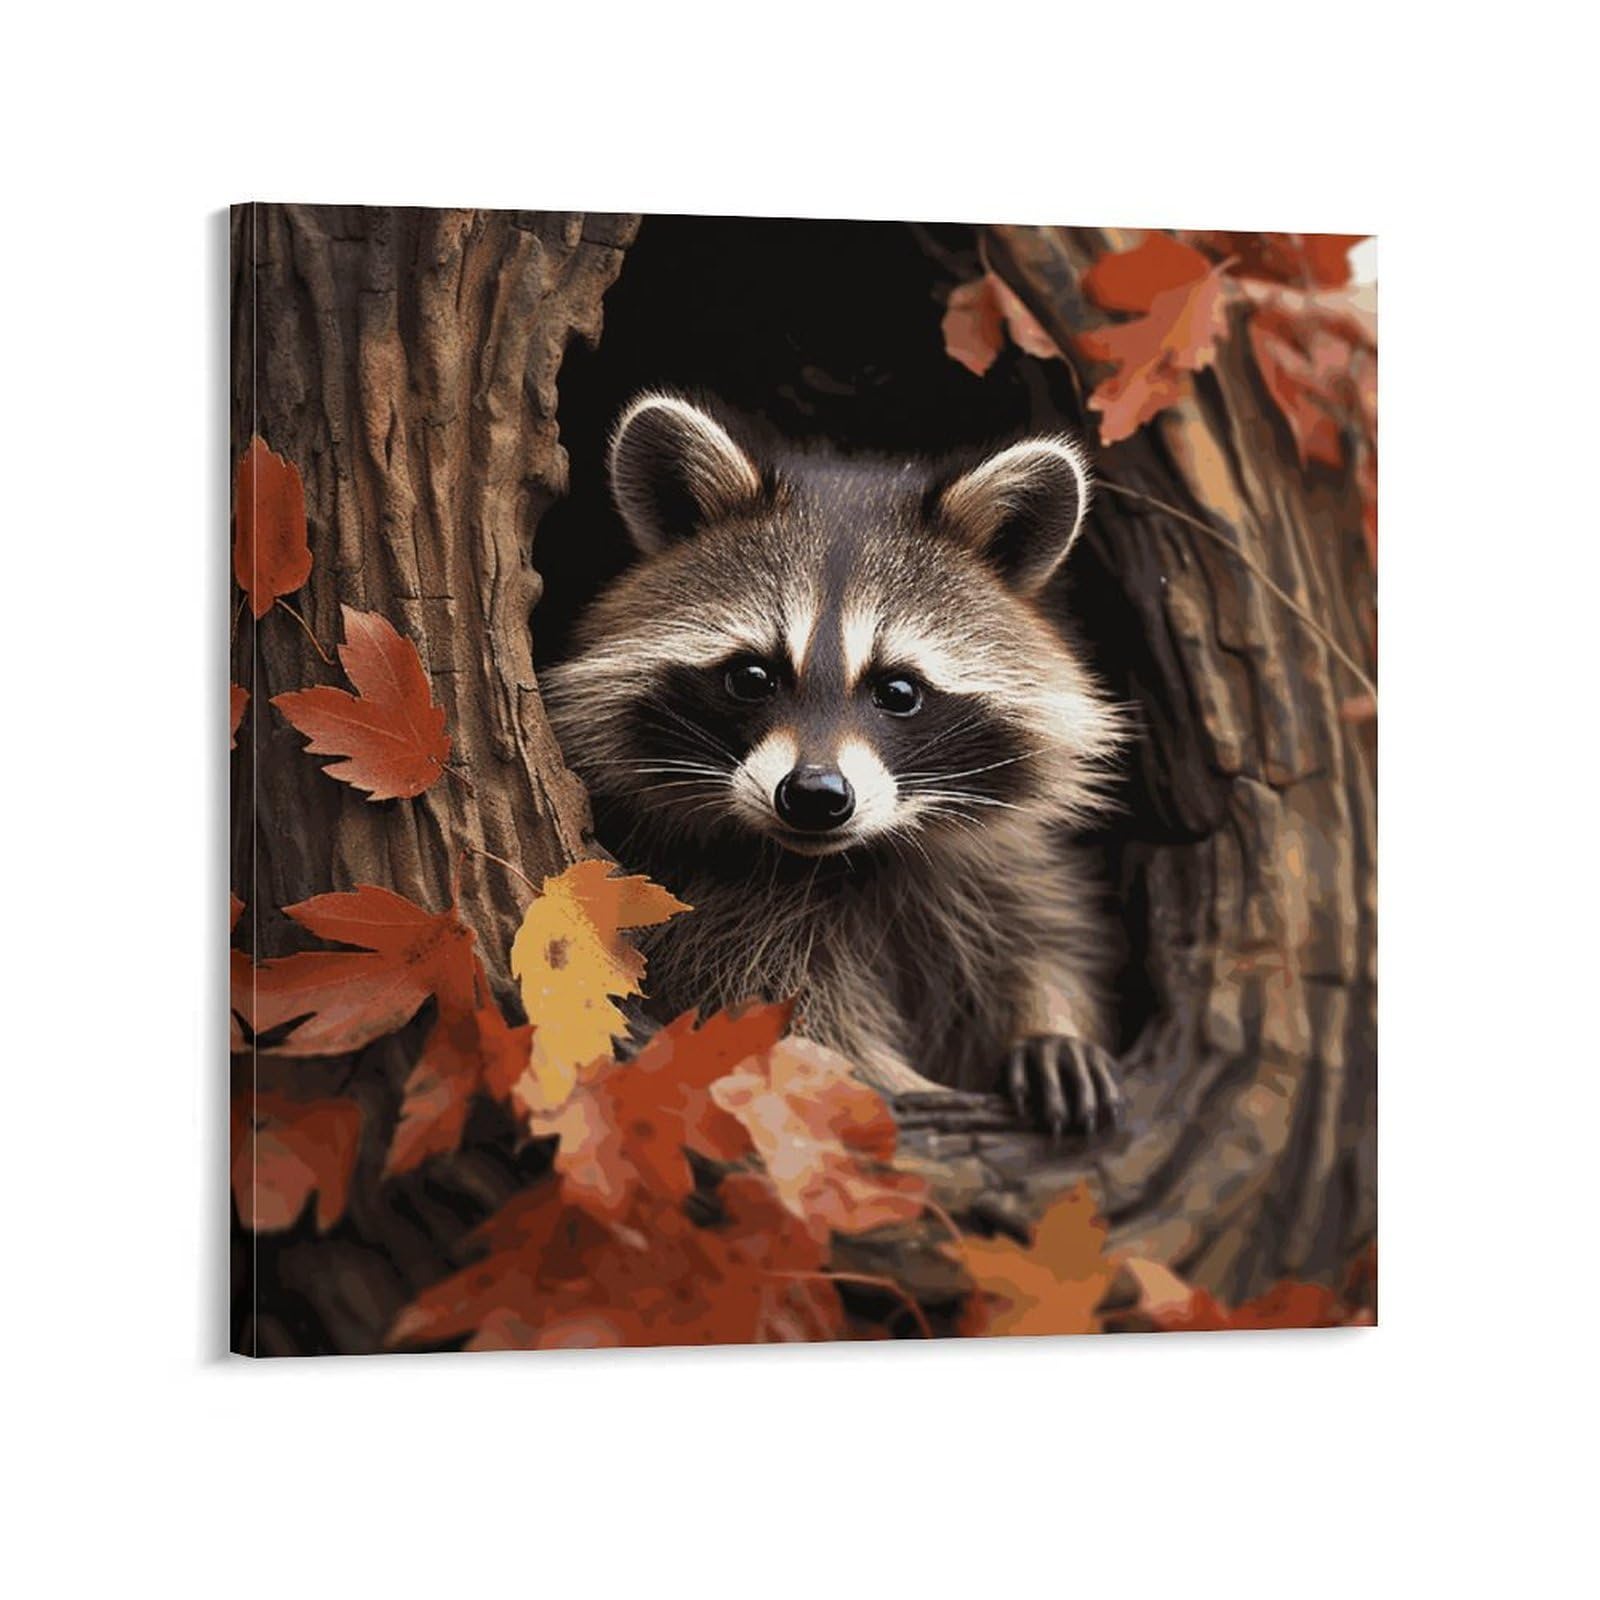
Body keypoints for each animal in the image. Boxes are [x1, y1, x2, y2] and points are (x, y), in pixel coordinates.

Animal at [544, 393, 1127, 1136]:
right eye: (752, 677)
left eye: (899, 691)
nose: (815, 794)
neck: (845, 860)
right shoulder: (704, 905)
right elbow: (787, 1020)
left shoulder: (994, 866)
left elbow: (1040, 935)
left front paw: (1050, 1022)